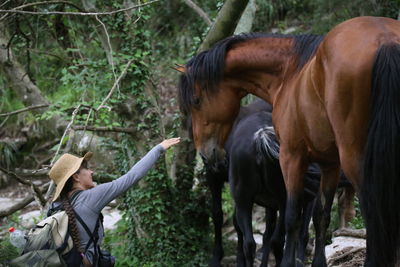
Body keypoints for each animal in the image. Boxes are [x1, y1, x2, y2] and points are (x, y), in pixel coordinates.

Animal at [179, 15, 400, 266]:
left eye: (196, 101)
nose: (206, 153)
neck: (289, 71)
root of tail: (385, 39)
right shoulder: (330, 163)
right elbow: (321, 216)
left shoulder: (291, 157)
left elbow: (291, 219)